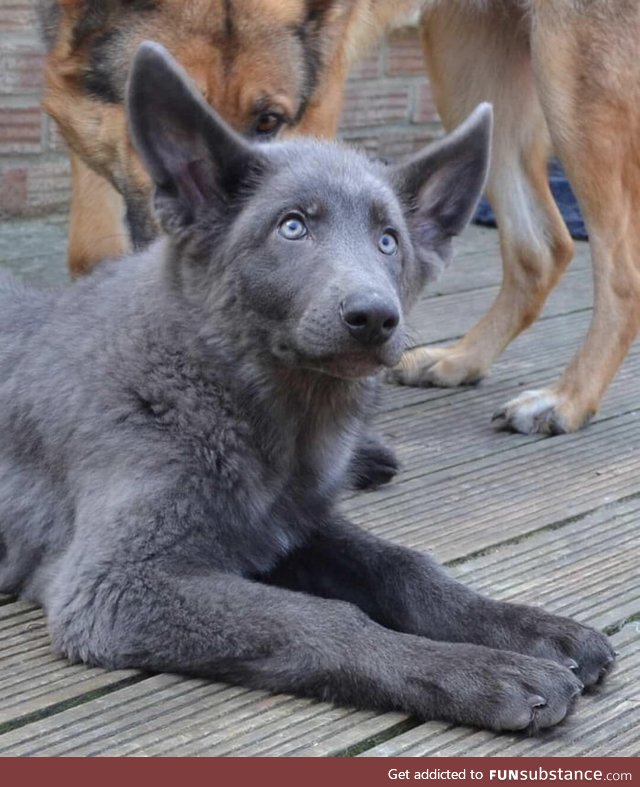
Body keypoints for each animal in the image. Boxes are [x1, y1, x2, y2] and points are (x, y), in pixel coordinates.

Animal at [0, 43, 616, 732]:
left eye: (388, 240)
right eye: (292, 228)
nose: (375, 318)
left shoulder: (288, 526)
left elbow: (405, 566)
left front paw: (529, 628)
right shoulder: (114, 587)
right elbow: (326, 620)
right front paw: (485, 673)